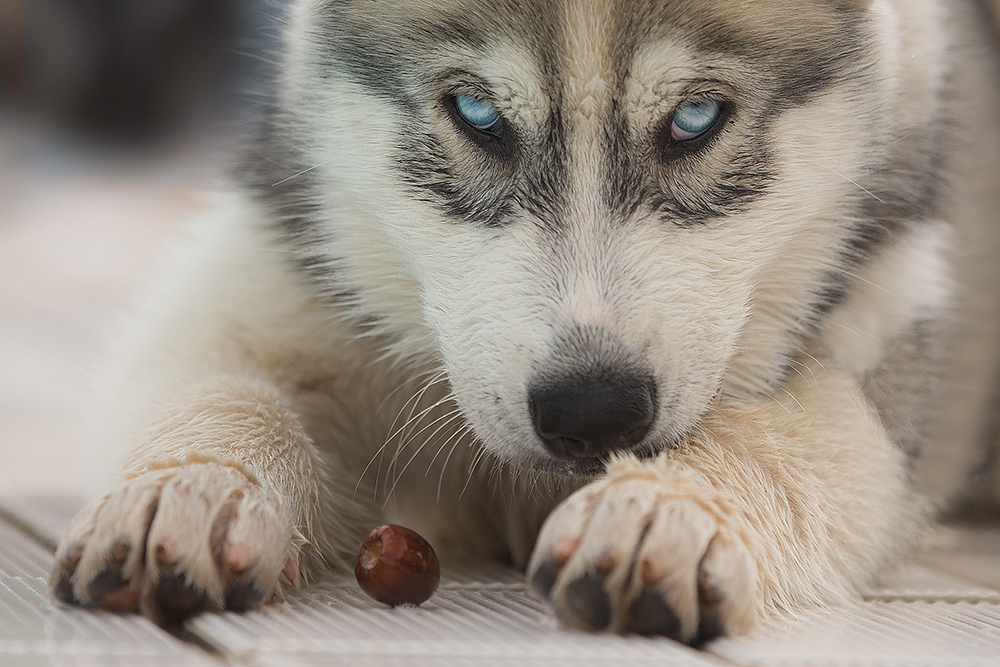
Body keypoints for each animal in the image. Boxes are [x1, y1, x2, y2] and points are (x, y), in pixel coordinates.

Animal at [50, 0, 1000, 648]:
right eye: (477, 114)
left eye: (696, 118)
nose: (594, 411)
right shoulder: (278, 274)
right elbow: (224, 382)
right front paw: (190, 486)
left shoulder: (885, 339)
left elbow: (782, 438)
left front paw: (671, 511)